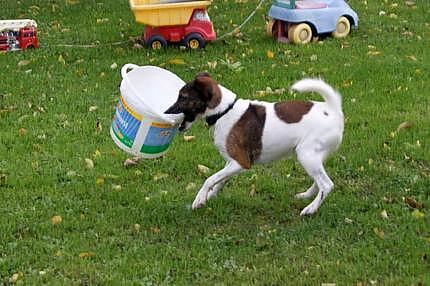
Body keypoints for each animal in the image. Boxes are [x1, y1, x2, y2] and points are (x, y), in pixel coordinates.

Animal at [165, 72, 342, 216]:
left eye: (183, 97)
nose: (166, 112)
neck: (224, 111)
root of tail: (333, 110)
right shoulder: (231, 162)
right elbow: (219, 180)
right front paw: (210, 196)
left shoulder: (241, 163)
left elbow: (210, 179)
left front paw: (199, 199)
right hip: (313, 156)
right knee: (319, 181)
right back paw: (306, 195)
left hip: (306, 154)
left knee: (326, 185)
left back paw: (310, 209)